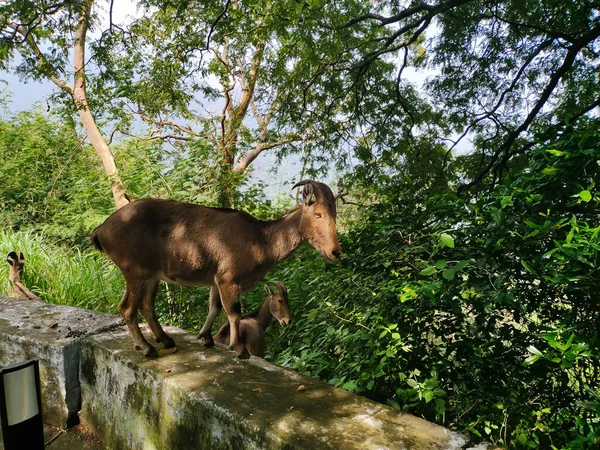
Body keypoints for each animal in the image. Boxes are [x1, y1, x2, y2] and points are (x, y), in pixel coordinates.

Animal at [91, 179, 340, 358]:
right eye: (318, 214)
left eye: (334, 214)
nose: (335, 252)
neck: (261, 239)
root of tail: (102, 229)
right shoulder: (228, 279)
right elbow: (233, 312)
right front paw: (239, 349)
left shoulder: (215, 279)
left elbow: (214, 307)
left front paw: (206, 338)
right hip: (135, 271)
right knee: (126, 308)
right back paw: (146, 348)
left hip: (151, 276)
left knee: (146, 306)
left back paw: (166, 340)